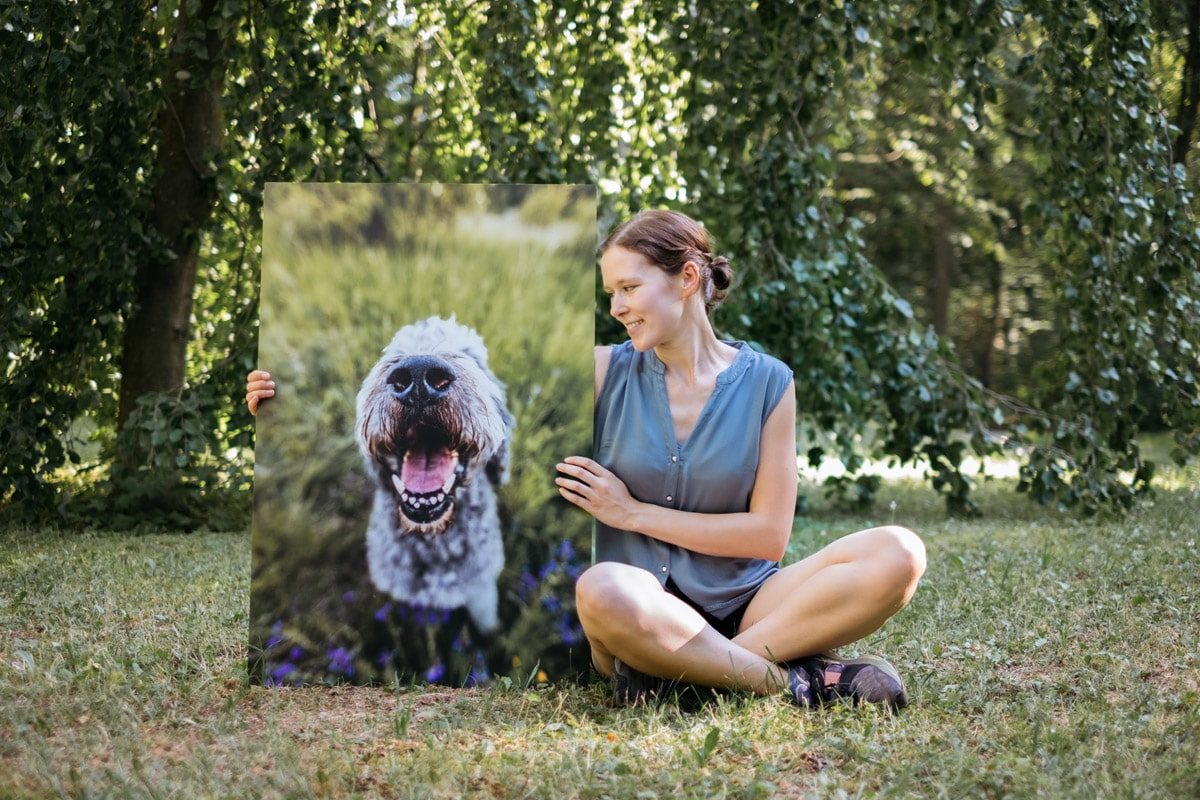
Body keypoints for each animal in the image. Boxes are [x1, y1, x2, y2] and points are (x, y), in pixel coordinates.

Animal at [350, 316, 511, 633]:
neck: (434, 539)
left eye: (472, 356)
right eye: (393, 351)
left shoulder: (481, 588)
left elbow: (486, 623)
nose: (418, 374)